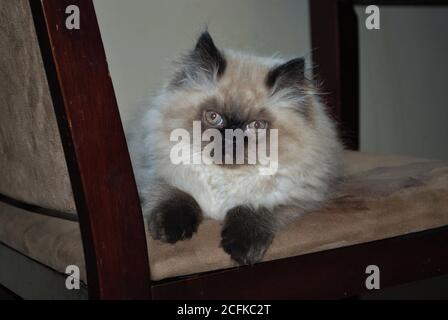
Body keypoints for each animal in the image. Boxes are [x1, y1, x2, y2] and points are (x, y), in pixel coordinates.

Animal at [128, 30, 342, 264]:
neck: (225, 179)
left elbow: (253, 208)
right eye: (214, 117)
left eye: (256, 126)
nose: (231, 139)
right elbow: (177, 195)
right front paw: (171, 231)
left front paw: (241, 249)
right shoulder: (155, 174)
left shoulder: (295, 197)